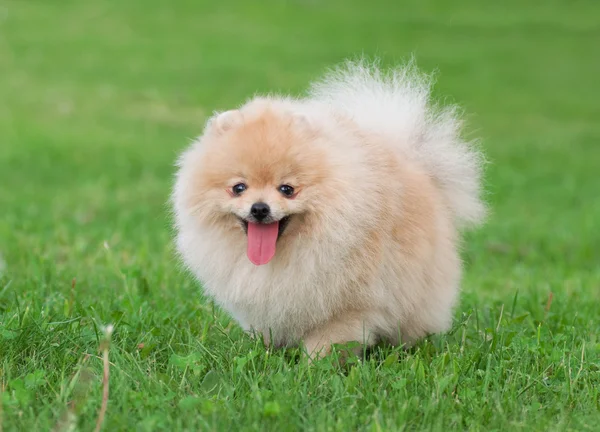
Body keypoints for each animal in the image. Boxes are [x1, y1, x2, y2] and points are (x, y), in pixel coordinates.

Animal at [171, 61, 486, 358]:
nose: (259, 208)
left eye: (287, 189)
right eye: (239, 188)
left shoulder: (346, 308)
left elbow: (327, 344)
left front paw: (313, 369)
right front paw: (266, 353)